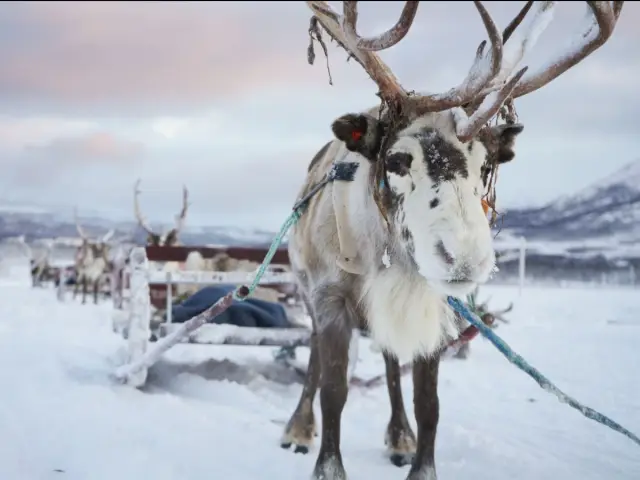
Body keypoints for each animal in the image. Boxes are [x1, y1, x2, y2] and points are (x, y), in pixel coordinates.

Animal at [281, 1, 624, 479]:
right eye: (397, 160)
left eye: (486, 166)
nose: (465, 261)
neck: (387, 261)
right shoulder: (329, 298)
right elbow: (334, 390)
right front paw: (325, 463)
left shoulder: (437, 311)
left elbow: (428, 403)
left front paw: (419, 461)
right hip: (306, 291)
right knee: (314, 356)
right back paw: (298, 428)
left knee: (391, 365)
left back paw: (399, 437)